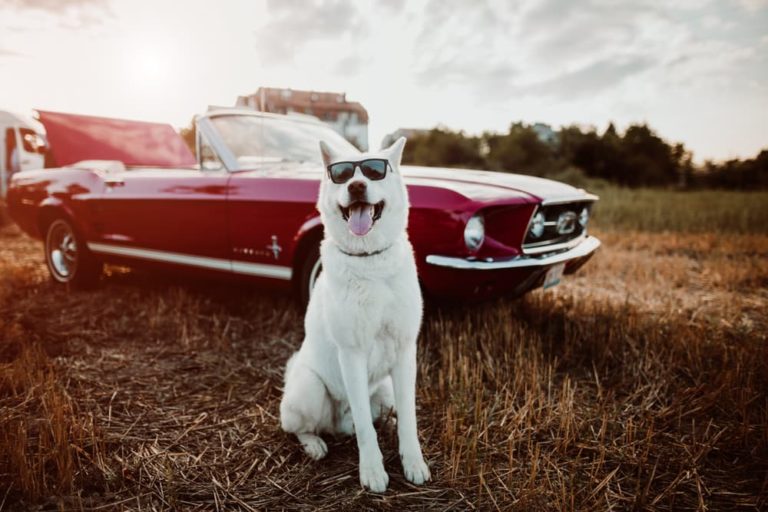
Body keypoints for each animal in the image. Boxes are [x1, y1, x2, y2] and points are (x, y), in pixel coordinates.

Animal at [280, 136, 428, 492]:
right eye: (342, 174)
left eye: (375, 171)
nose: (357, 185)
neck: (370, 260)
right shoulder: (352, 353)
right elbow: (364, 426)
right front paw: (372, 470)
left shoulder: (405, 351)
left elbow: (409, 418)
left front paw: (413, 462)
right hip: (309, 389)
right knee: (299, 428)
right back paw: (315, 445)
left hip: (384, 391)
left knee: (383, 413)